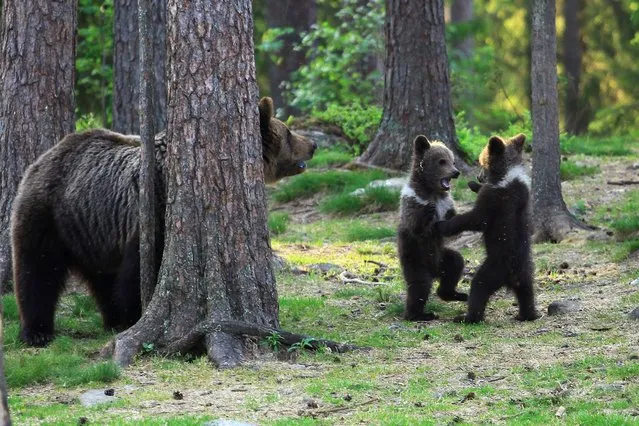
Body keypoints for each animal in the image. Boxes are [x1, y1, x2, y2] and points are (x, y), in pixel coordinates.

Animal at [10, 95, 318, 346]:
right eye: (289, 132)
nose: (313, 144)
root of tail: (44, 157)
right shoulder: (152, 214)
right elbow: (138, 273)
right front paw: (135, 316)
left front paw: (126, 317)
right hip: (49, 214)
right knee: (37, 269)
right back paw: (37, 331)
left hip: (92, 229)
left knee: (101, 277)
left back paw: (110, 318)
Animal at [398, 135, 468, 322]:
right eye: (441, 161)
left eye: (452, 161)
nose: (456, 172)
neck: (432, 191)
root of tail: (435, 272)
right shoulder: (411, 201)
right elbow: (416, 225)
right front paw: (428, 212)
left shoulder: (446, 204)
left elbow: (451, 228)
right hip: (416, 259)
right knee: (419, 286)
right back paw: (420, 314)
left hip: (442, 256)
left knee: (455, 263)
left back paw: (454, 294)